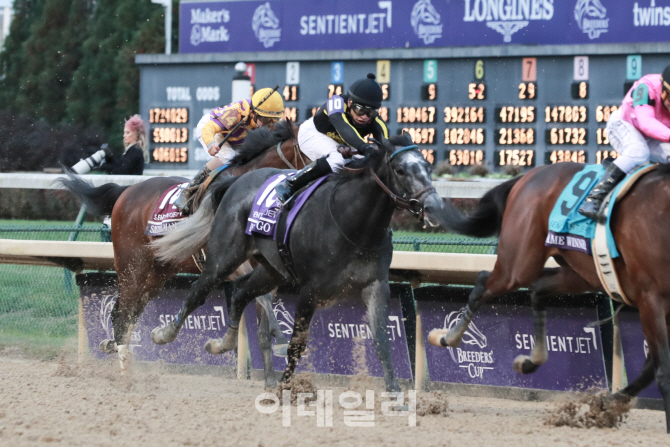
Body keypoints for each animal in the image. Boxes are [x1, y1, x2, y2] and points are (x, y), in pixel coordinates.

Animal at [56, 121, 306, 386]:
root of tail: (126, 190)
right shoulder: (227, 262)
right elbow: (260, 299)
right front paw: (280, 341)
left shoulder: (269, 269)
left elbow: (263, 317)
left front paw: (271, 376)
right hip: (131, 267)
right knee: (121, 315)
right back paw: (125, 372)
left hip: (156, 274)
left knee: (127, 313)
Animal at [149, 135, 444, 394]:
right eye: (401, 169)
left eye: (428, 167)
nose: (434, 207)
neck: (354, 223)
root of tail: (235, 182)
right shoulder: (309, 291)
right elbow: (296, 345)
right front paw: (283, 386)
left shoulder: (376, 285)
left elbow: (382, 341)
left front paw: (395, 392)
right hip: (224, 257)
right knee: (198, 291)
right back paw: (165, 333)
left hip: (271, 271)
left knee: (242, 293)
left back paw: (223, 342)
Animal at [428, 163, 670, 432]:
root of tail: (529, 175)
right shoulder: (650, 298)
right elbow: (662, 370)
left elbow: (650, 368)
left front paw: (606, 405)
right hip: (518, 266)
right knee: (484, 283)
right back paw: (447, 337)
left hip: (581, 273)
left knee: (537, 288)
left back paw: (530, 360)